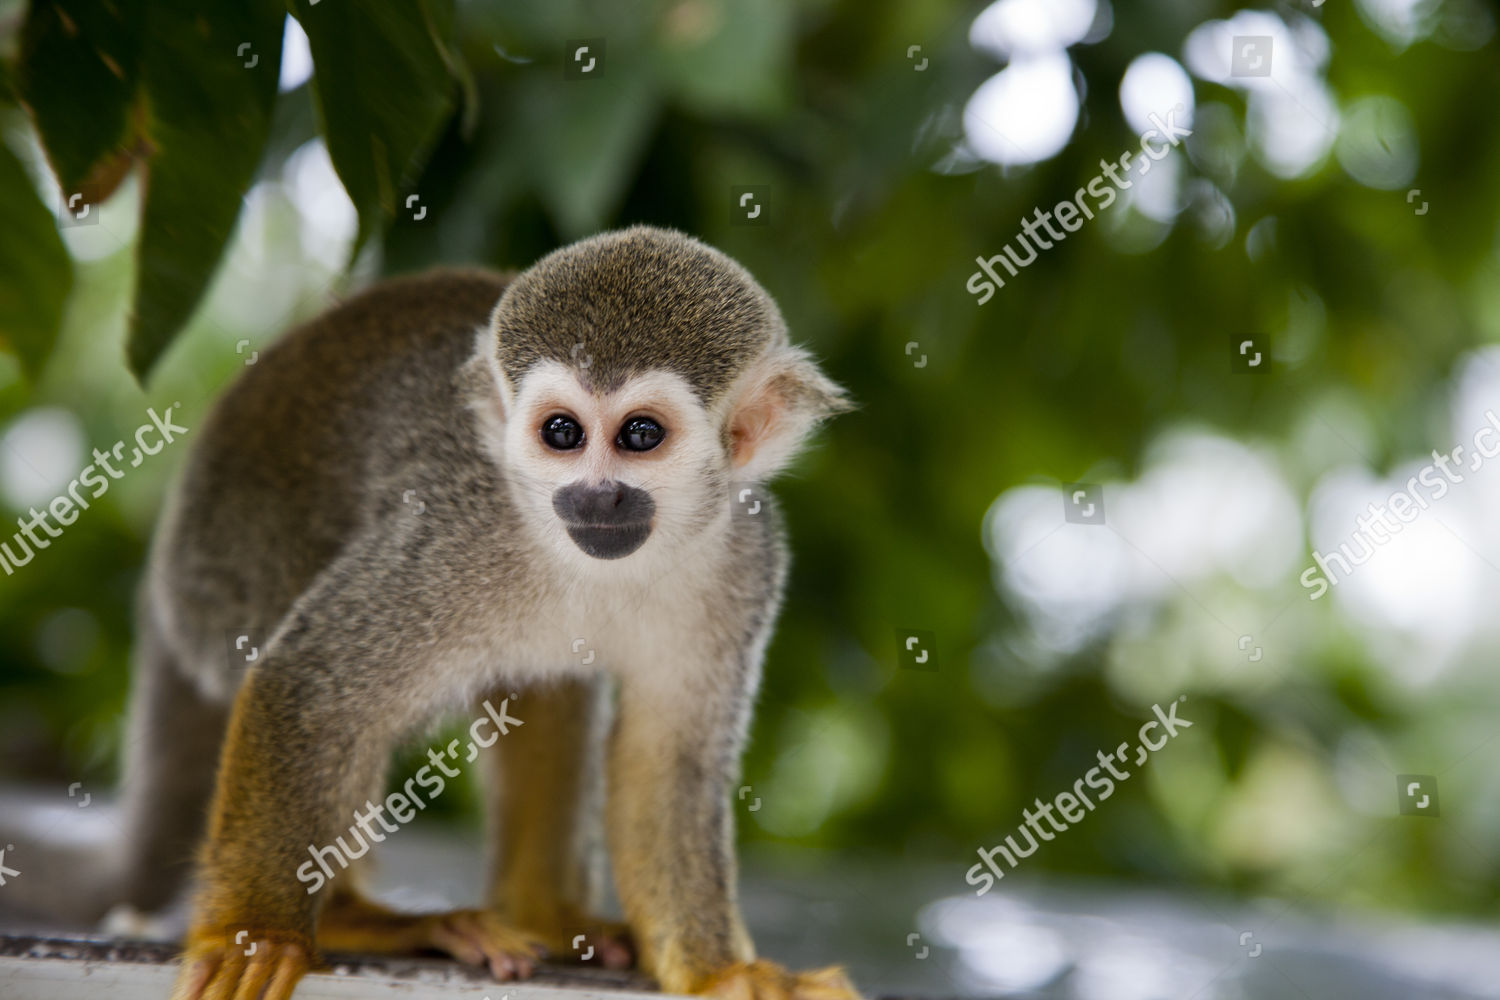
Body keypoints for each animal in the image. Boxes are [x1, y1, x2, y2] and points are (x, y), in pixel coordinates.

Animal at [49, 229, 858, 1000]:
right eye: (562, 433)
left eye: (639, 435)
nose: (593, 496)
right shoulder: (450, 534)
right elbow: (311, 686)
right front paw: (255, 939)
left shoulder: (745, 563)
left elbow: (668, 761)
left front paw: (721, 974)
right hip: (226, 575)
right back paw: (357, 921)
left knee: (553, 687)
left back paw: (540, 914)